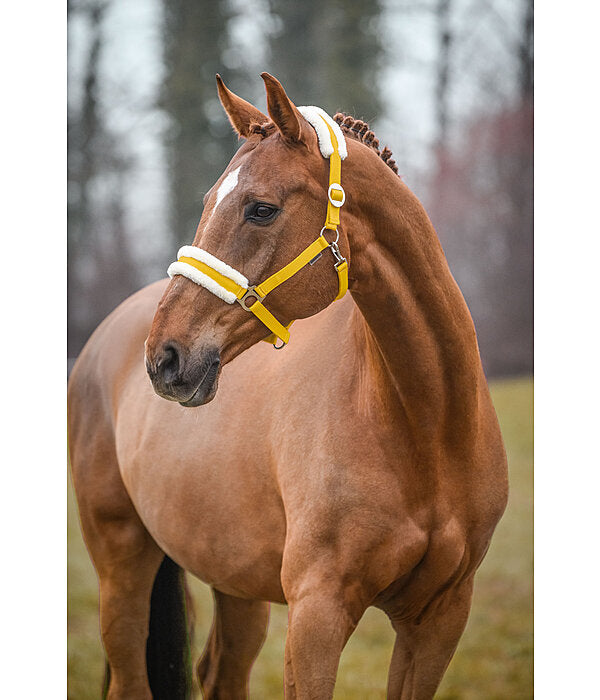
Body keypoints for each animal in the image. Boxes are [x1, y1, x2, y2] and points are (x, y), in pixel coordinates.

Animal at [68, 72, 508, 699]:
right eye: (210, 202)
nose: (166, 358)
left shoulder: (439, 619)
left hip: (235, 579)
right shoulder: (317, 616)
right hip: (123, 564)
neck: (428, 430)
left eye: (261, 209)